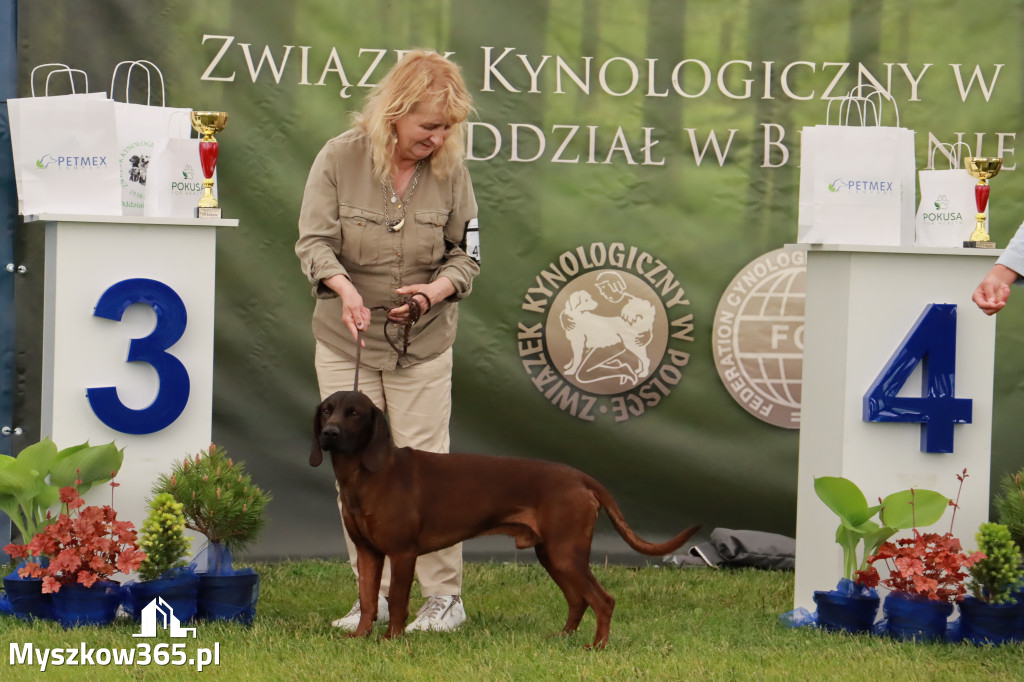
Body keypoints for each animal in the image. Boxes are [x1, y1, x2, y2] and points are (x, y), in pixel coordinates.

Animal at [307, 391, 700, 647]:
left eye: (355, 413)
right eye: (327, 410)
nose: (329, 434)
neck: (367, 475)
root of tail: (581, 477)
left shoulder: (403, 554)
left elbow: (399, 601)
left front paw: (391, 640)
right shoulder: (368, 554)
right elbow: (369, 601)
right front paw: (359, 636)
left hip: (566, 554)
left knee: (603, 600)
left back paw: (597, 646)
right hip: (553, 555)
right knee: (578, 600)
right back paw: (563, 638)